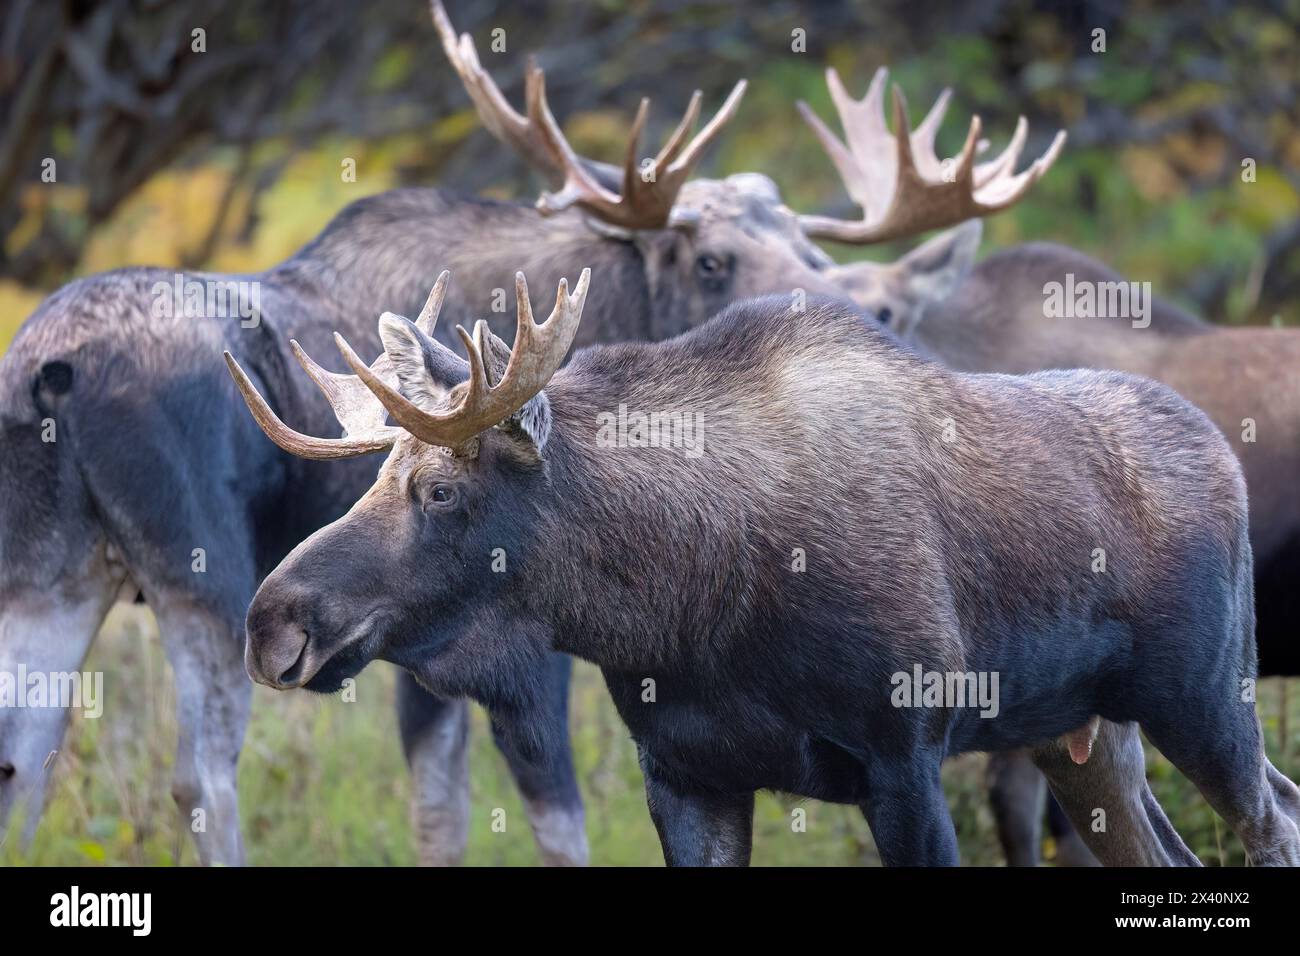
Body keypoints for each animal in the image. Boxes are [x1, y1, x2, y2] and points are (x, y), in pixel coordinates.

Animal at [0, 0, 1066, 868]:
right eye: (711, 259)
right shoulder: (524, 636)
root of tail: (49, 370)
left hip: (53, 575)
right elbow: (556, 815)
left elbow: (440, 810)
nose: (862, 306)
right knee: (200, 773)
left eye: (805, 240)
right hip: (203, 574)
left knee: (25, 758)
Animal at [228, 264, 1300, 868]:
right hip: (1081, 735)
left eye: (443, 491)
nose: (272, 621)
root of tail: (1219, 452)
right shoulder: (688, 775)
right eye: (381, 476)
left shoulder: (903, 758)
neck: (689, 601)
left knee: (1273, 821)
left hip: (1203, 693)